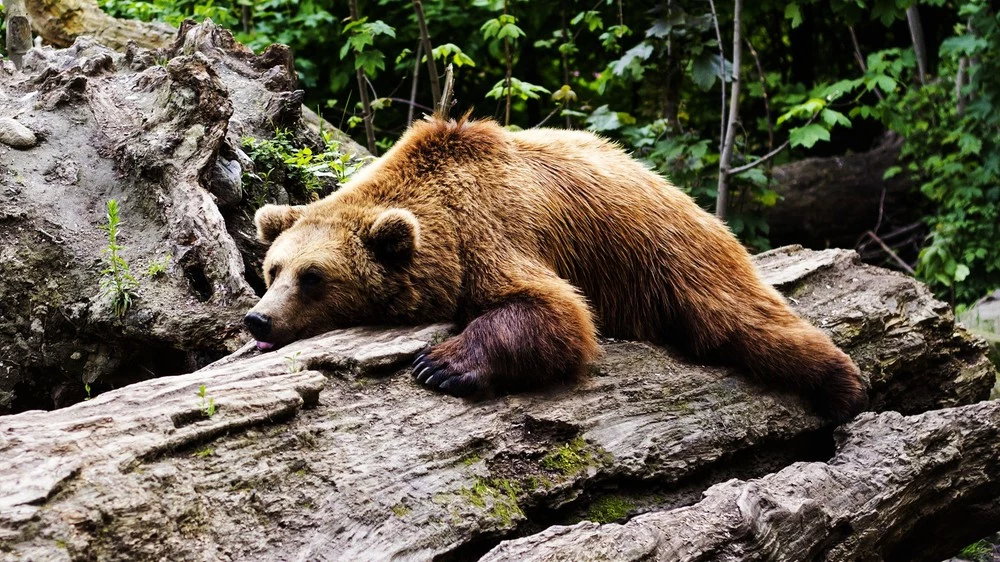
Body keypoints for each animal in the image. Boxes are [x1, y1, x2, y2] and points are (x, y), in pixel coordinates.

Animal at [248, 115, 868, 420]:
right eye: (273, 270)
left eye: (313, 277)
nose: (259, 319)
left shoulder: (495, 234)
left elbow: (556, 311)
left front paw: (440, 365)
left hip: (669, 255)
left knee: (744, 319)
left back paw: (844, 385)